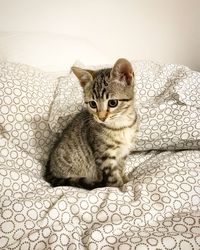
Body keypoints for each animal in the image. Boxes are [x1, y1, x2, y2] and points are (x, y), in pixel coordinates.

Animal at [44, 58, 138, 189]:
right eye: (93, 104)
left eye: (112, 103)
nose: (101, 118)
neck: (121, 125)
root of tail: (49, 170)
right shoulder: (104, 155)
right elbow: (113, 177)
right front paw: (120, 188)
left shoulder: (123, 152)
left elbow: (120, 168)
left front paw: (124, 179)